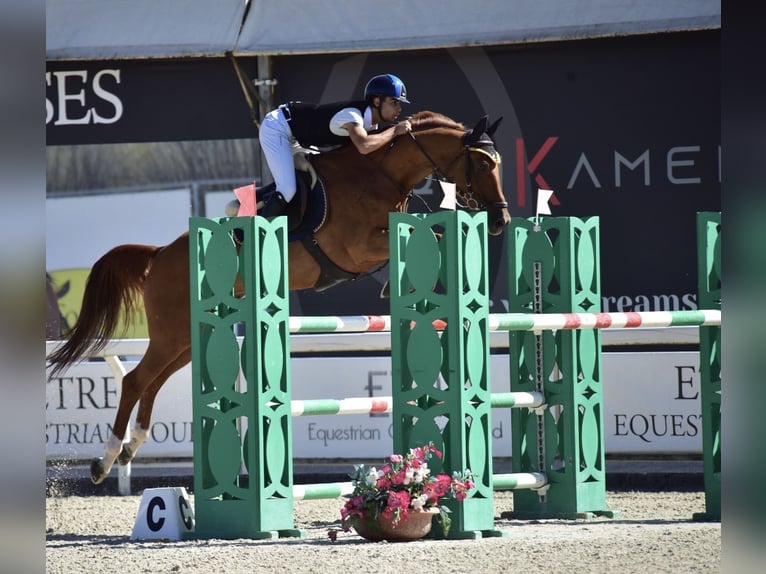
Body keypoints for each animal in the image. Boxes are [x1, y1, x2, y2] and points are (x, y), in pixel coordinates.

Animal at [43, 109, 510, 486]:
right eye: (482, 162)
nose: (501, 220)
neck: (380, 174)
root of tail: (159, 255)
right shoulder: (354, 248)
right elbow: (421, 234)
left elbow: (422, 231)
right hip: (172, 333)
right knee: (136, 380)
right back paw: (104, 461)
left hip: (186, 339)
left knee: (152, 382)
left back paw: (130, 447)